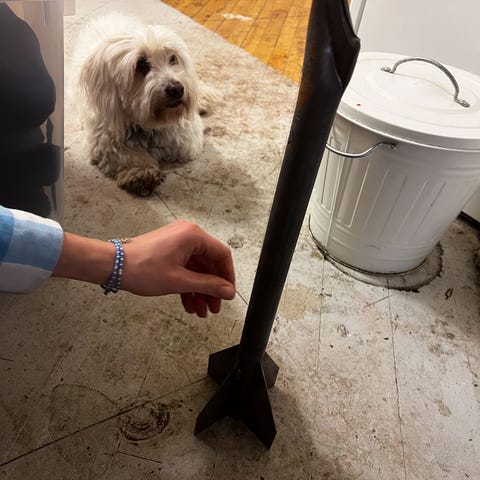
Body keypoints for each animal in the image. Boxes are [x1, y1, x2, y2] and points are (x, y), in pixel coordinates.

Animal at [73, 13, 207, 196]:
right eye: (141, 64)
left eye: (172, 58)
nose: (177, 89)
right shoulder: (105, 136)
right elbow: (126, 154)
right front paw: (142, 171)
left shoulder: (187, 137)